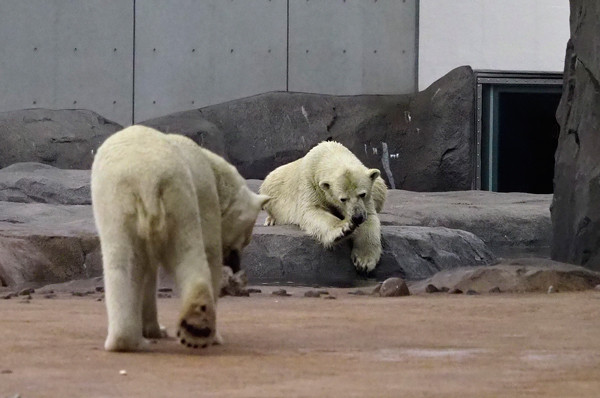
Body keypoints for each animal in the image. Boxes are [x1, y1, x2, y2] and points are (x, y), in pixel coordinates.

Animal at [91, 125, 268, 352]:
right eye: (246, 238)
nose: (236, 265)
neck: (213, 168)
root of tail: (148, 179)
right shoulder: (205, 193)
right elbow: (211, 251)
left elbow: (146, 270)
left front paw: (154, 329)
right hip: (176, 197)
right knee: (190, 255)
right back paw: (196, 327)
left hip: (120, 203)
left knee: (122, 263)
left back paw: (133, 340)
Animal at [260, 140, 386, 274]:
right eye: (343, 199)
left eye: (362, 194)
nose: (357, 217)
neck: (329, 152)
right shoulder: (310, 182)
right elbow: (312, 210)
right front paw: (344, 228)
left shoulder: (366, 202)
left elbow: (369, 218)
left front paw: (364, 261)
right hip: (271, 188)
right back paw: (270, 220)